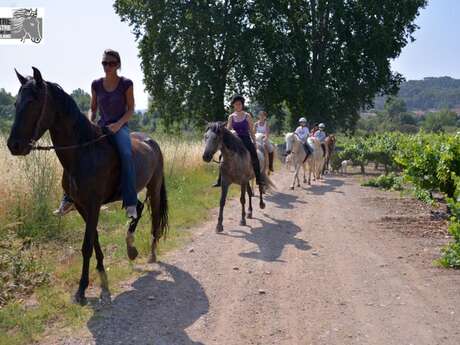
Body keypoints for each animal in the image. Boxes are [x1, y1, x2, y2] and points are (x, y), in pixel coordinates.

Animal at [6, 68, 169, 304]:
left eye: (33, 102)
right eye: (16, 103)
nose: (14, 146)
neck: (83, 152)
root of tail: (151, 141)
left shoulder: (93, 205)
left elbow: (85, 245)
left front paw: (81, 289)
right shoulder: (82, 206)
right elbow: (94, 240)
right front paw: (100, 268)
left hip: (154, 188)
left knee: (155, 218)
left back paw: (151, 254)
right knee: (137, 208)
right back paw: (131, 248)